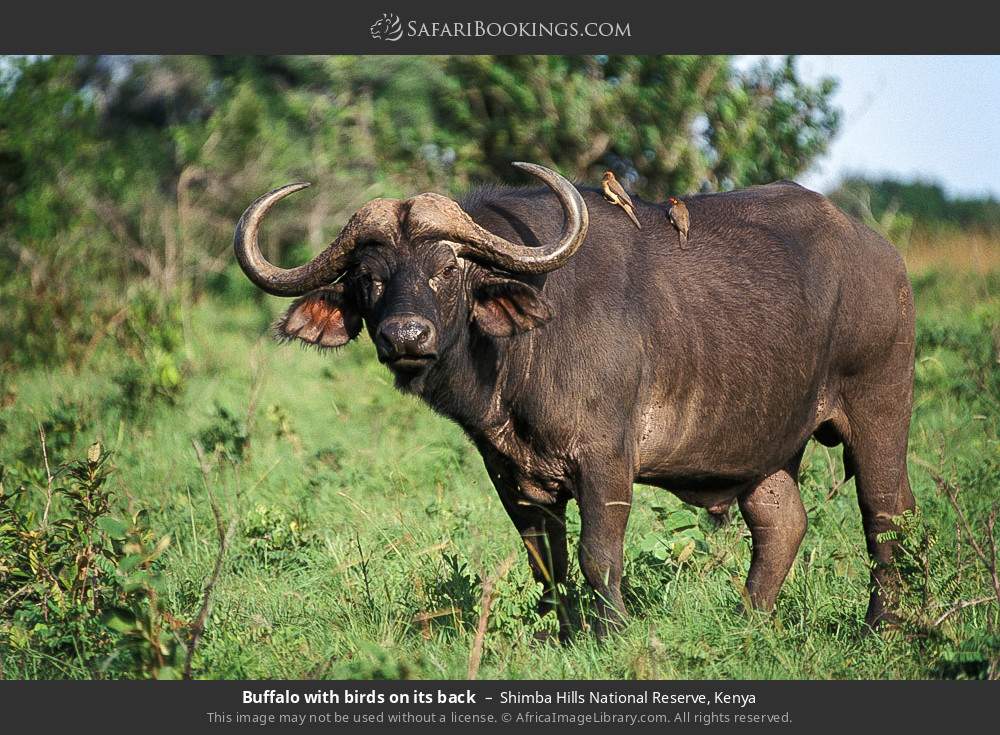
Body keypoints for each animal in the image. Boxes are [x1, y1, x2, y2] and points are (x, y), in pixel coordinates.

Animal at [234, 163, 915, 638]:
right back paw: (750, 619)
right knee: (782, 523)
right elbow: (548, 563)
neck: (520, 356)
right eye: (369, 278)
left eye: (447, 269)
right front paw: (567, 635)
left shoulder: (607, 460)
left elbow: (599, 556)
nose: (406, 335)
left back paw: (884, 625)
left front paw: (612, 633)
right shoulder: (511, 474)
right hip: (765, 451)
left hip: (880, 410)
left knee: (888, 513)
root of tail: (882, 254)